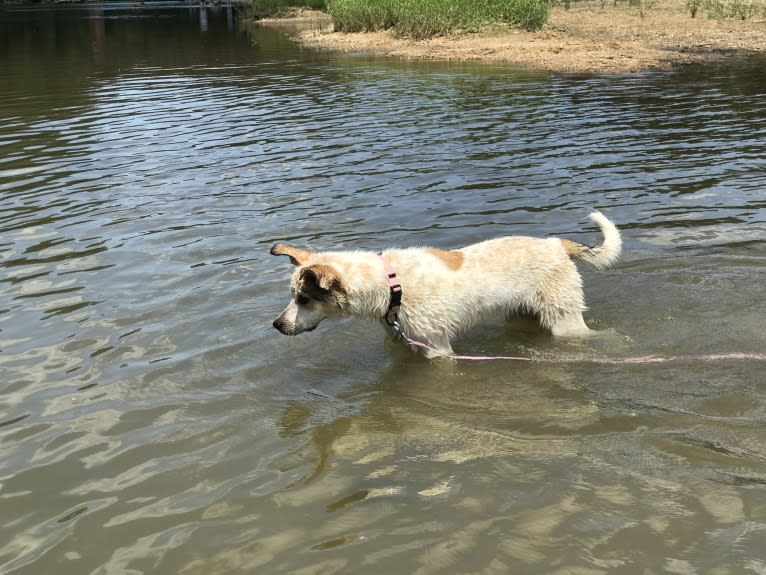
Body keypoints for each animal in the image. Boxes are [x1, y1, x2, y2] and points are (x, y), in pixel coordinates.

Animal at [272, 209, 620, 358]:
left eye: (304, 299)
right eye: (292, 296)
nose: (276, 325)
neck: (393, 285)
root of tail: (558, 245)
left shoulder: (436, 348)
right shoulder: (399, 341)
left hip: (565, 321)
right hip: (521, 313)